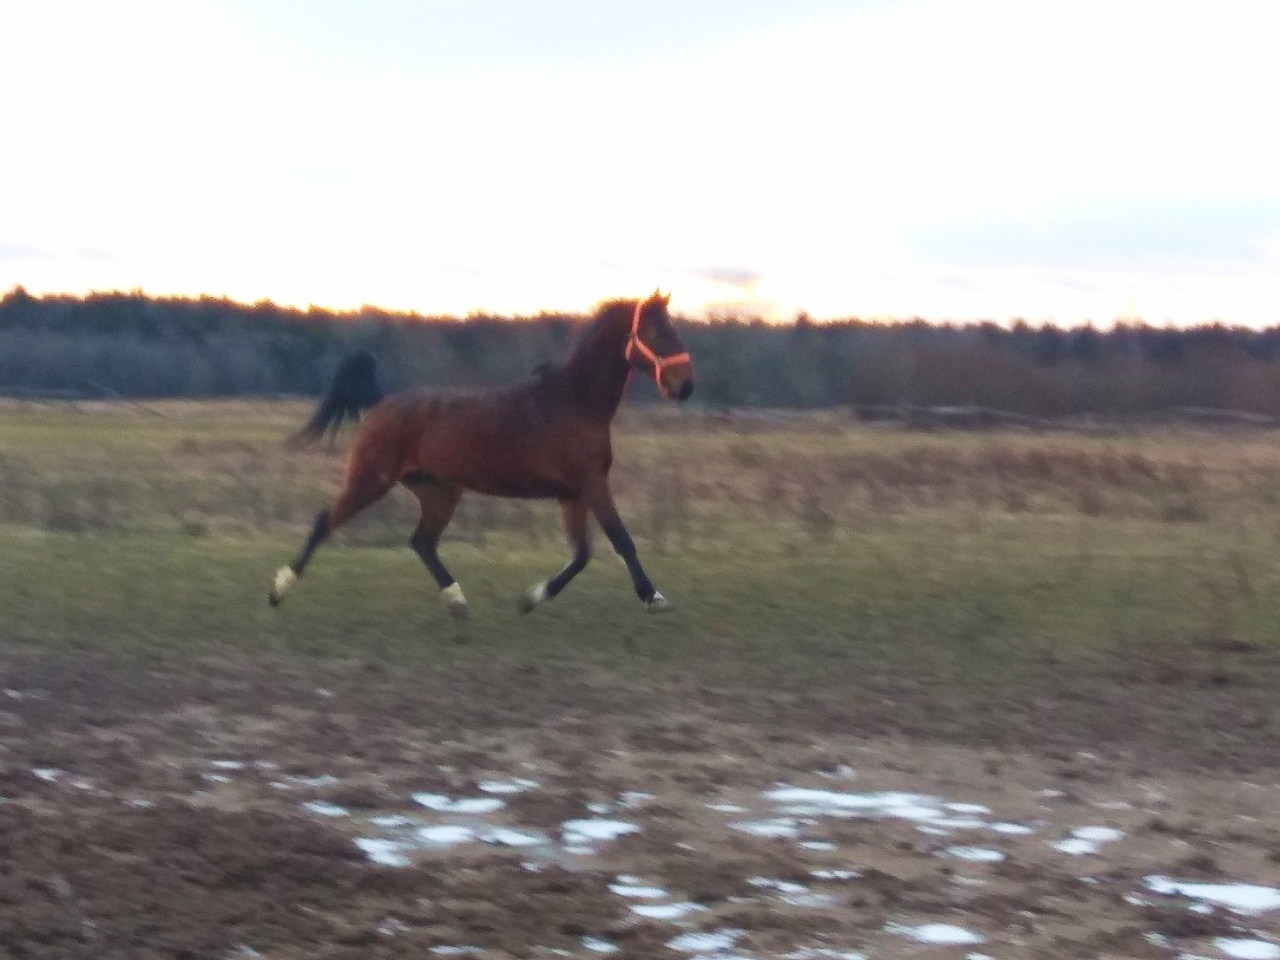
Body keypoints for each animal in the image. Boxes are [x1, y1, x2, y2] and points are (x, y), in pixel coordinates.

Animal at [264, 293, 696, 619]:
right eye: (656, 331)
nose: (686, 387)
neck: (573, 402)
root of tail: (383, 402)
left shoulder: (572, 494)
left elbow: (581, 554)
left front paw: (530, 598)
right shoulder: (591, 483)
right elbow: (621, 540)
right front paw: (653, 596)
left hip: (439, 492)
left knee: (422, 542)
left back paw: (457, 601)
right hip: (372, 479)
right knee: (325, 522)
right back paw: (278, 590)